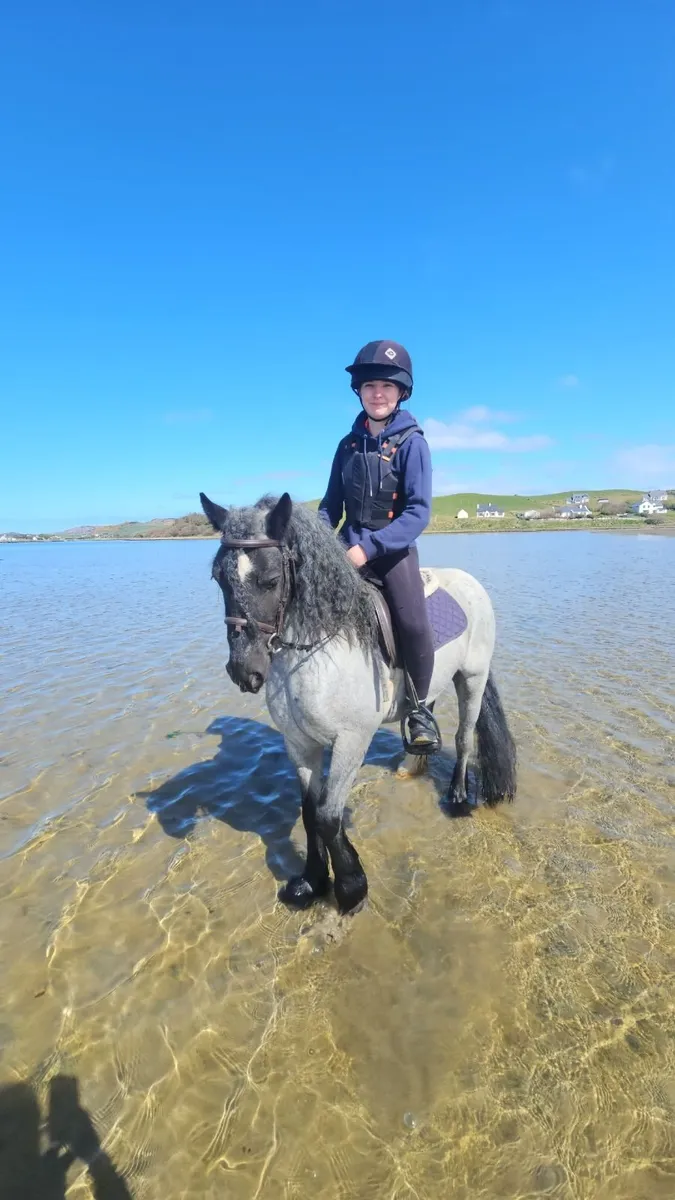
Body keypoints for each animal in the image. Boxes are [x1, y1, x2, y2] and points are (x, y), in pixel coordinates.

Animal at [200, 491, 516, 915]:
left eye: (271, 580)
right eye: (219, 578)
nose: (244, 670)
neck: (318, 650)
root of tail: (469, 581)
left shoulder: (351, 740)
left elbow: (329, 816)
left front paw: (351, 887)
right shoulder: (299, 743)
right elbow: (310, 812)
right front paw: (311, 882)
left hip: (473, 678)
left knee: (465, 739)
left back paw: (459, 798)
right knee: (427, 710)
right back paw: (414, 758)